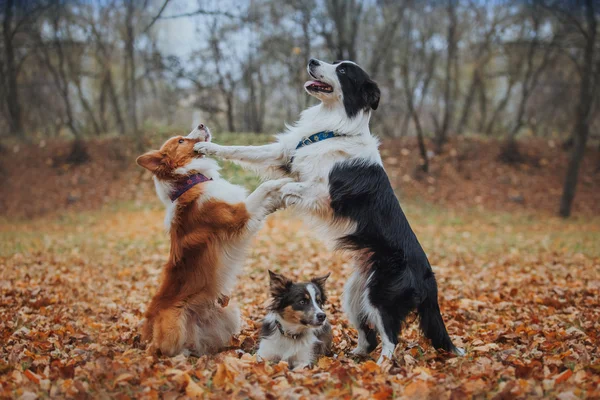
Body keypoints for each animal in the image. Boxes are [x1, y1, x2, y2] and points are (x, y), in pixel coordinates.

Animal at [135, 124, 288, 356]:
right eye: (180, 141)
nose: (201, 125)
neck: (190, 181)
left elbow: (266, 198)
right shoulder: (239, 215)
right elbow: (264, 188)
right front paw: (288, 182)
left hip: (230, 310)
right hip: (174, 324)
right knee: (163, 350)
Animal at [197, 58, 464, 362]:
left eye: (343, 70)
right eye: (335, 62)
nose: (312, 60)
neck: (333, 128)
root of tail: (430, 281)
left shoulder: (323, 194)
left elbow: (285, 185)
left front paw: (261, 200)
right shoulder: (285, 155)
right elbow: (245, 151)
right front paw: (206, 146)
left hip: (381, 296)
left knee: (390, 339)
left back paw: (380, 367)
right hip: (355, 294)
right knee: (369, 336)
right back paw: (351, 357)